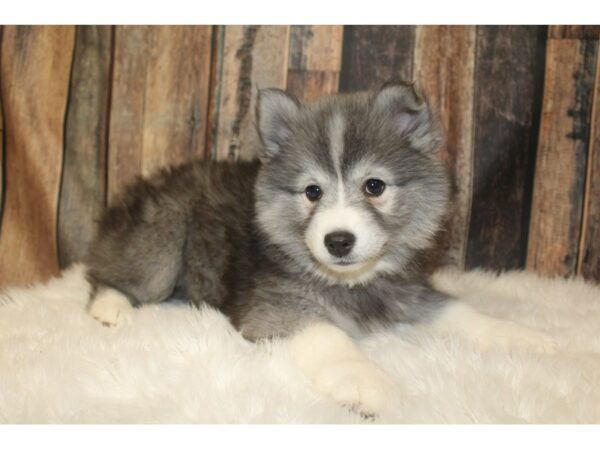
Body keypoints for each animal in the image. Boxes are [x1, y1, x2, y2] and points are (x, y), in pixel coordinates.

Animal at [84, 81, 552, 414]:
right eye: (312, 191)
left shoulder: (410, 291)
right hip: (161, 239)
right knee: (106, 273)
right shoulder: (276, 307)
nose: (338, 240)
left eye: (374, 186)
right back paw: (110, 308)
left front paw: (523, 338)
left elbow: (460, 311)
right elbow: (329, 336)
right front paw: (366, 380)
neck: (353, 283)